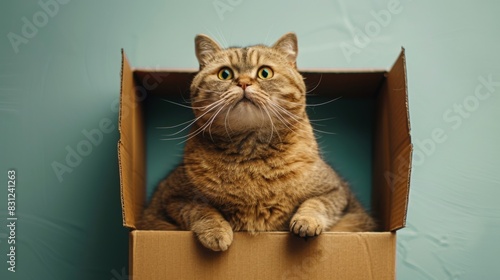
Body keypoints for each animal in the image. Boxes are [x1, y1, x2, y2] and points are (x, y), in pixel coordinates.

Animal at [138, 32, 376, 252]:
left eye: (264, 73)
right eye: (225, 74)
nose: (244, 82)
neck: (251, 156)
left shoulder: (337, 192)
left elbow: (316, 203)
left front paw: (305, 222)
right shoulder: (171, 199)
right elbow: (201, 210)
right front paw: (216, 231)